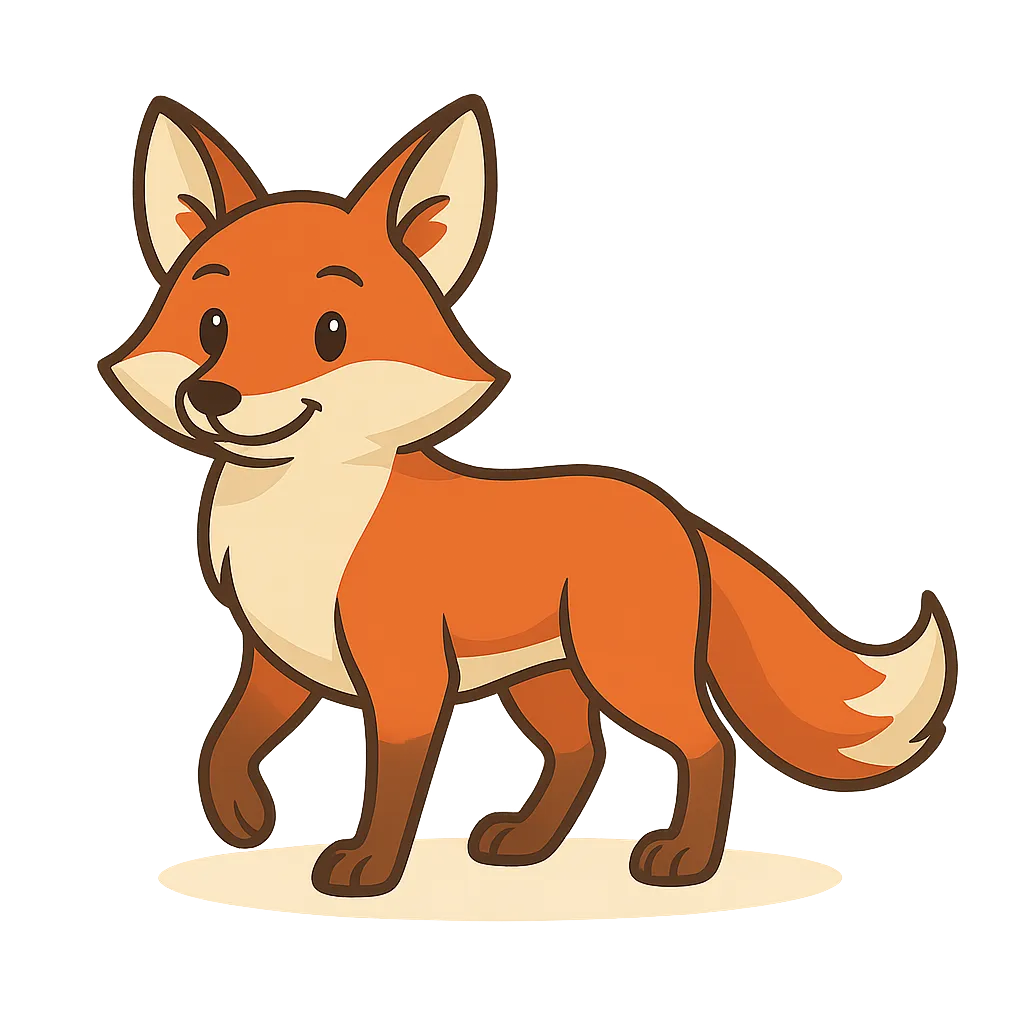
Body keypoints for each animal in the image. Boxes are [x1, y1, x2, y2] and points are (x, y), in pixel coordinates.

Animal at [99, 93, 958, 898]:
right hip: (545, 682)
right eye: (212, 325)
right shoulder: (278, 663)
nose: (212, 397)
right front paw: (243, 817)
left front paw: (368, 869)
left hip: (625, 670)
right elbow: (228, 742)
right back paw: (525, 843)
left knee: (706, 741)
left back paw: (682, 859)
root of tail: (675, 513)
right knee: (582, 753)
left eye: (331, 333)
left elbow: (391, 785)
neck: (301, 523)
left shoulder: (409, 681)